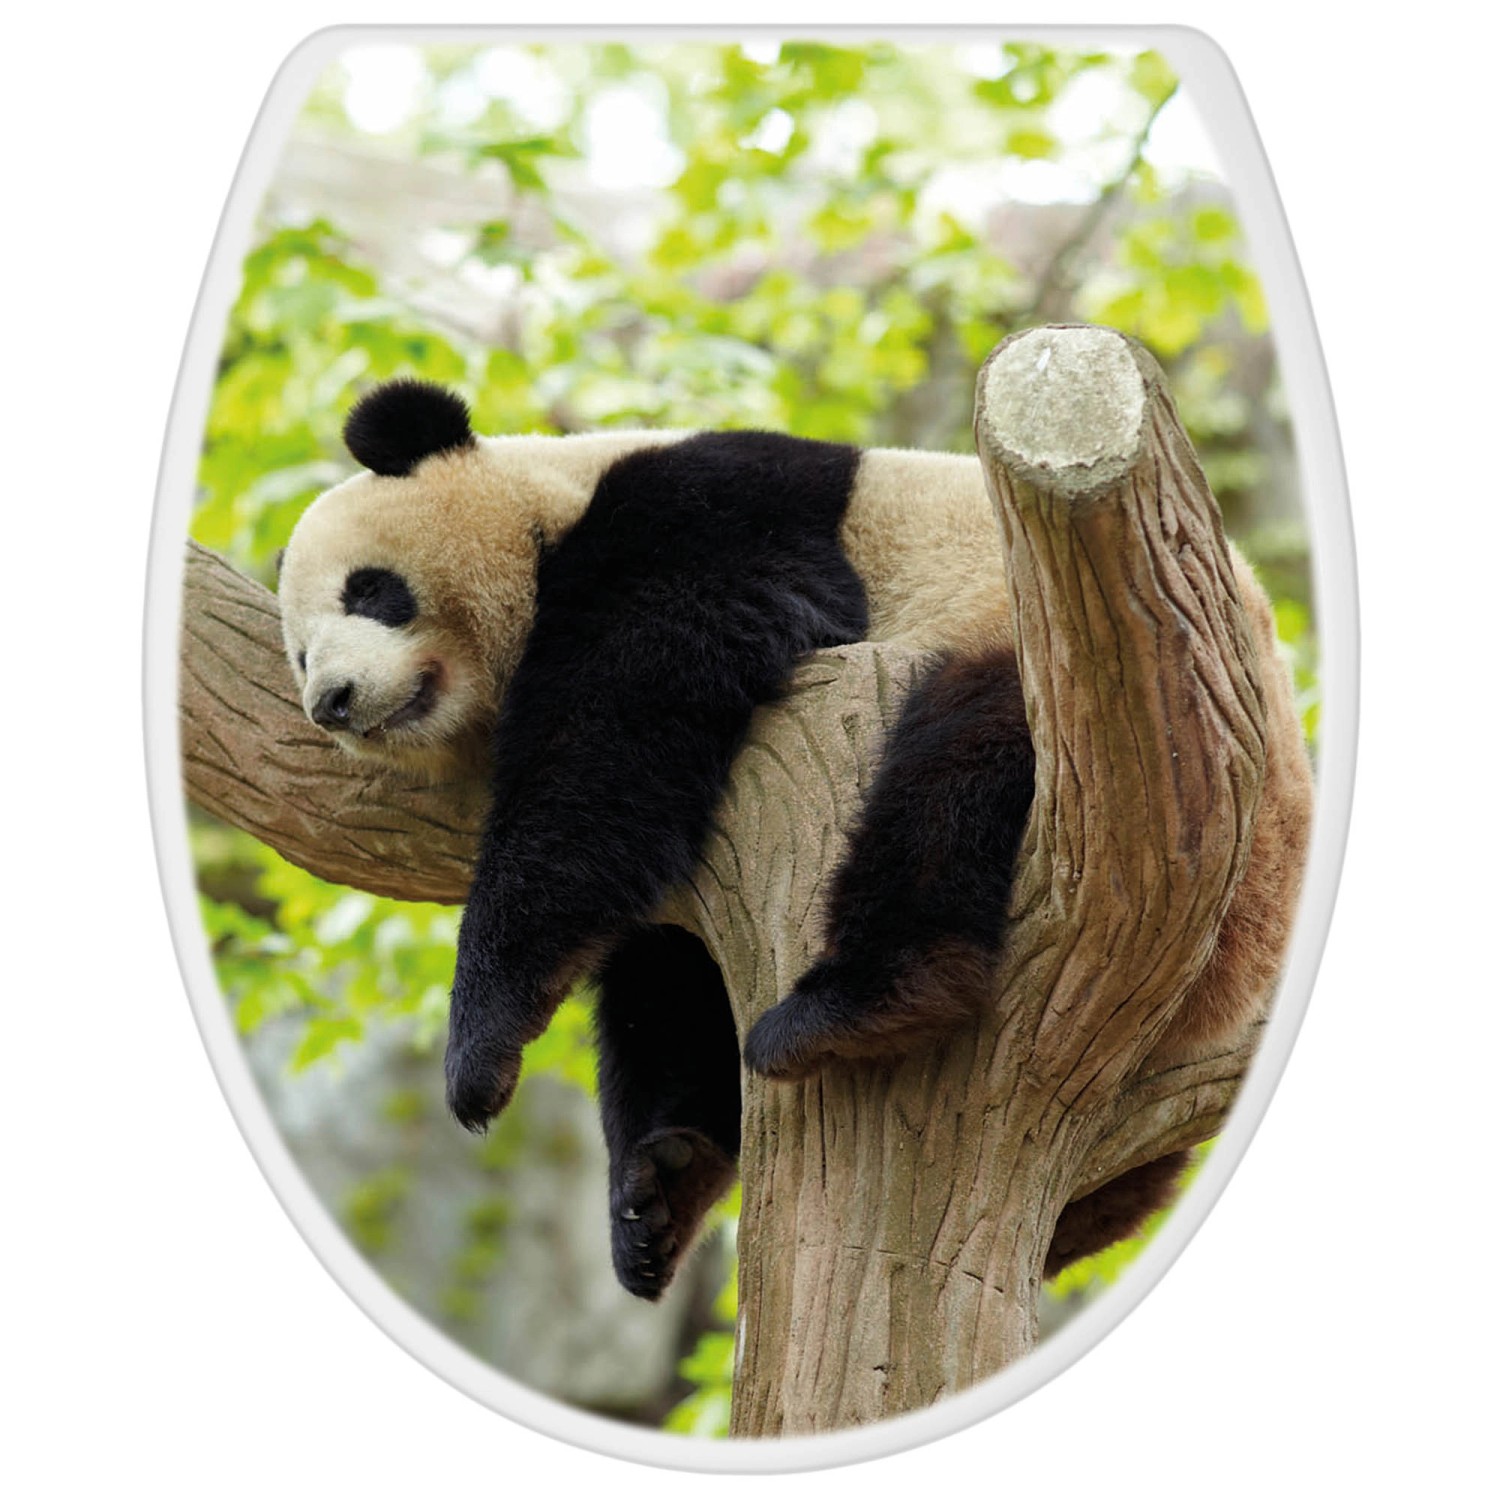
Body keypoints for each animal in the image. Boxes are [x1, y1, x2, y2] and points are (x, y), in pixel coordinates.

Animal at [276, 377, 1313, 1300]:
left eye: (372, 592)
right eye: (297, 651)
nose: (333, 701)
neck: (553, 498)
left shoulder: (710, 515)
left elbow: (618, 720)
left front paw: (481, 1051)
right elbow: (665, 966)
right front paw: (655, 1187)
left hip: (1099, 702)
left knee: (956, 768)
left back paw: (861, 1006)